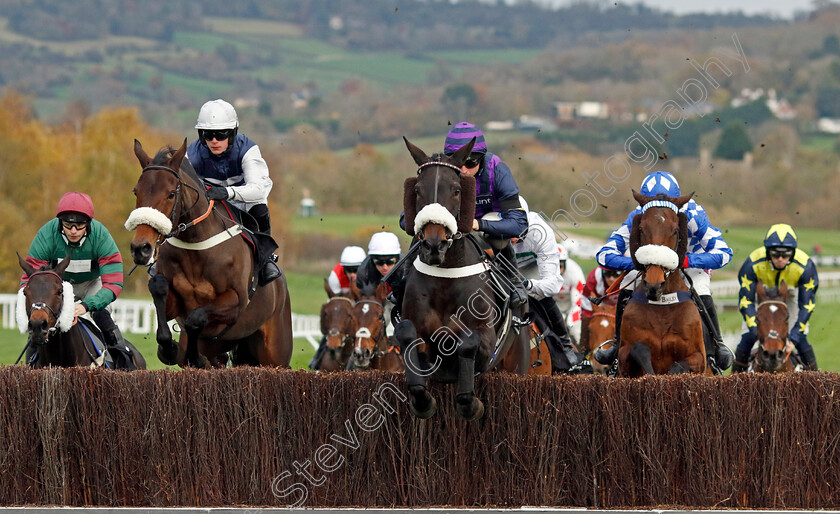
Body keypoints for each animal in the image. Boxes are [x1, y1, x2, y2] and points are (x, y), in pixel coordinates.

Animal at [125, 138, 292, 366]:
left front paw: (195, 357)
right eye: (136, 191)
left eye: (171, 194)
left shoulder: (236, 302)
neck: (195, 247)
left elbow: (195, 319)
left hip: (275, 353)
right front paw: (171, 348)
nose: (141, 248)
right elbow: (159, 290)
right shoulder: (176, 305)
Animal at [392, 137, 524, 420]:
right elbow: (407, 335)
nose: (434, 245)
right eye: (417, 190)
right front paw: (423, 401)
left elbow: (468, 342)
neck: (445, 277)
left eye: (455, 190)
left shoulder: (486, 339)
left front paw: (471, 404)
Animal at [616, 190, 708, 374]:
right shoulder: (623, 356)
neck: (662, 308)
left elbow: (677, 367)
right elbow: (638, 349)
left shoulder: (699, 358)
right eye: (641, 228)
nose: (654, 284)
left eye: (675, 231)